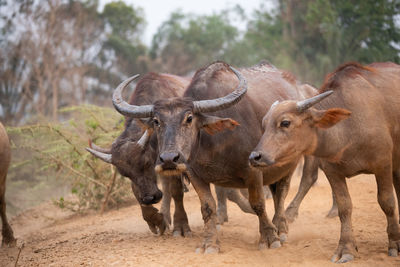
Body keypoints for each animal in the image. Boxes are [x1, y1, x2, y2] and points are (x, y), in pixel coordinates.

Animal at [111, 61, 320, 255]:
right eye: (156, 121)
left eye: (189, 118)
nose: (169, 159)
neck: (213, 142)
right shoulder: (194, 173)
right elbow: (207, 208)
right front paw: (209, 243)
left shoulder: (253, 170)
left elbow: (258, 203)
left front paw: (269, 238)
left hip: (288, 164)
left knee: (282, 193)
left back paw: (281, 227)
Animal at [250, 62, 400, 264]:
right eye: (264, 124)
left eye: (285, 122)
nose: (255, 157)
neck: (348, 129)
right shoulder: (333, 171)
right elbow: (345, 208)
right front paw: (346, 248)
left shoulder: (383, 165)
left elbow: (387, 202)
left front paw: (394, 244)